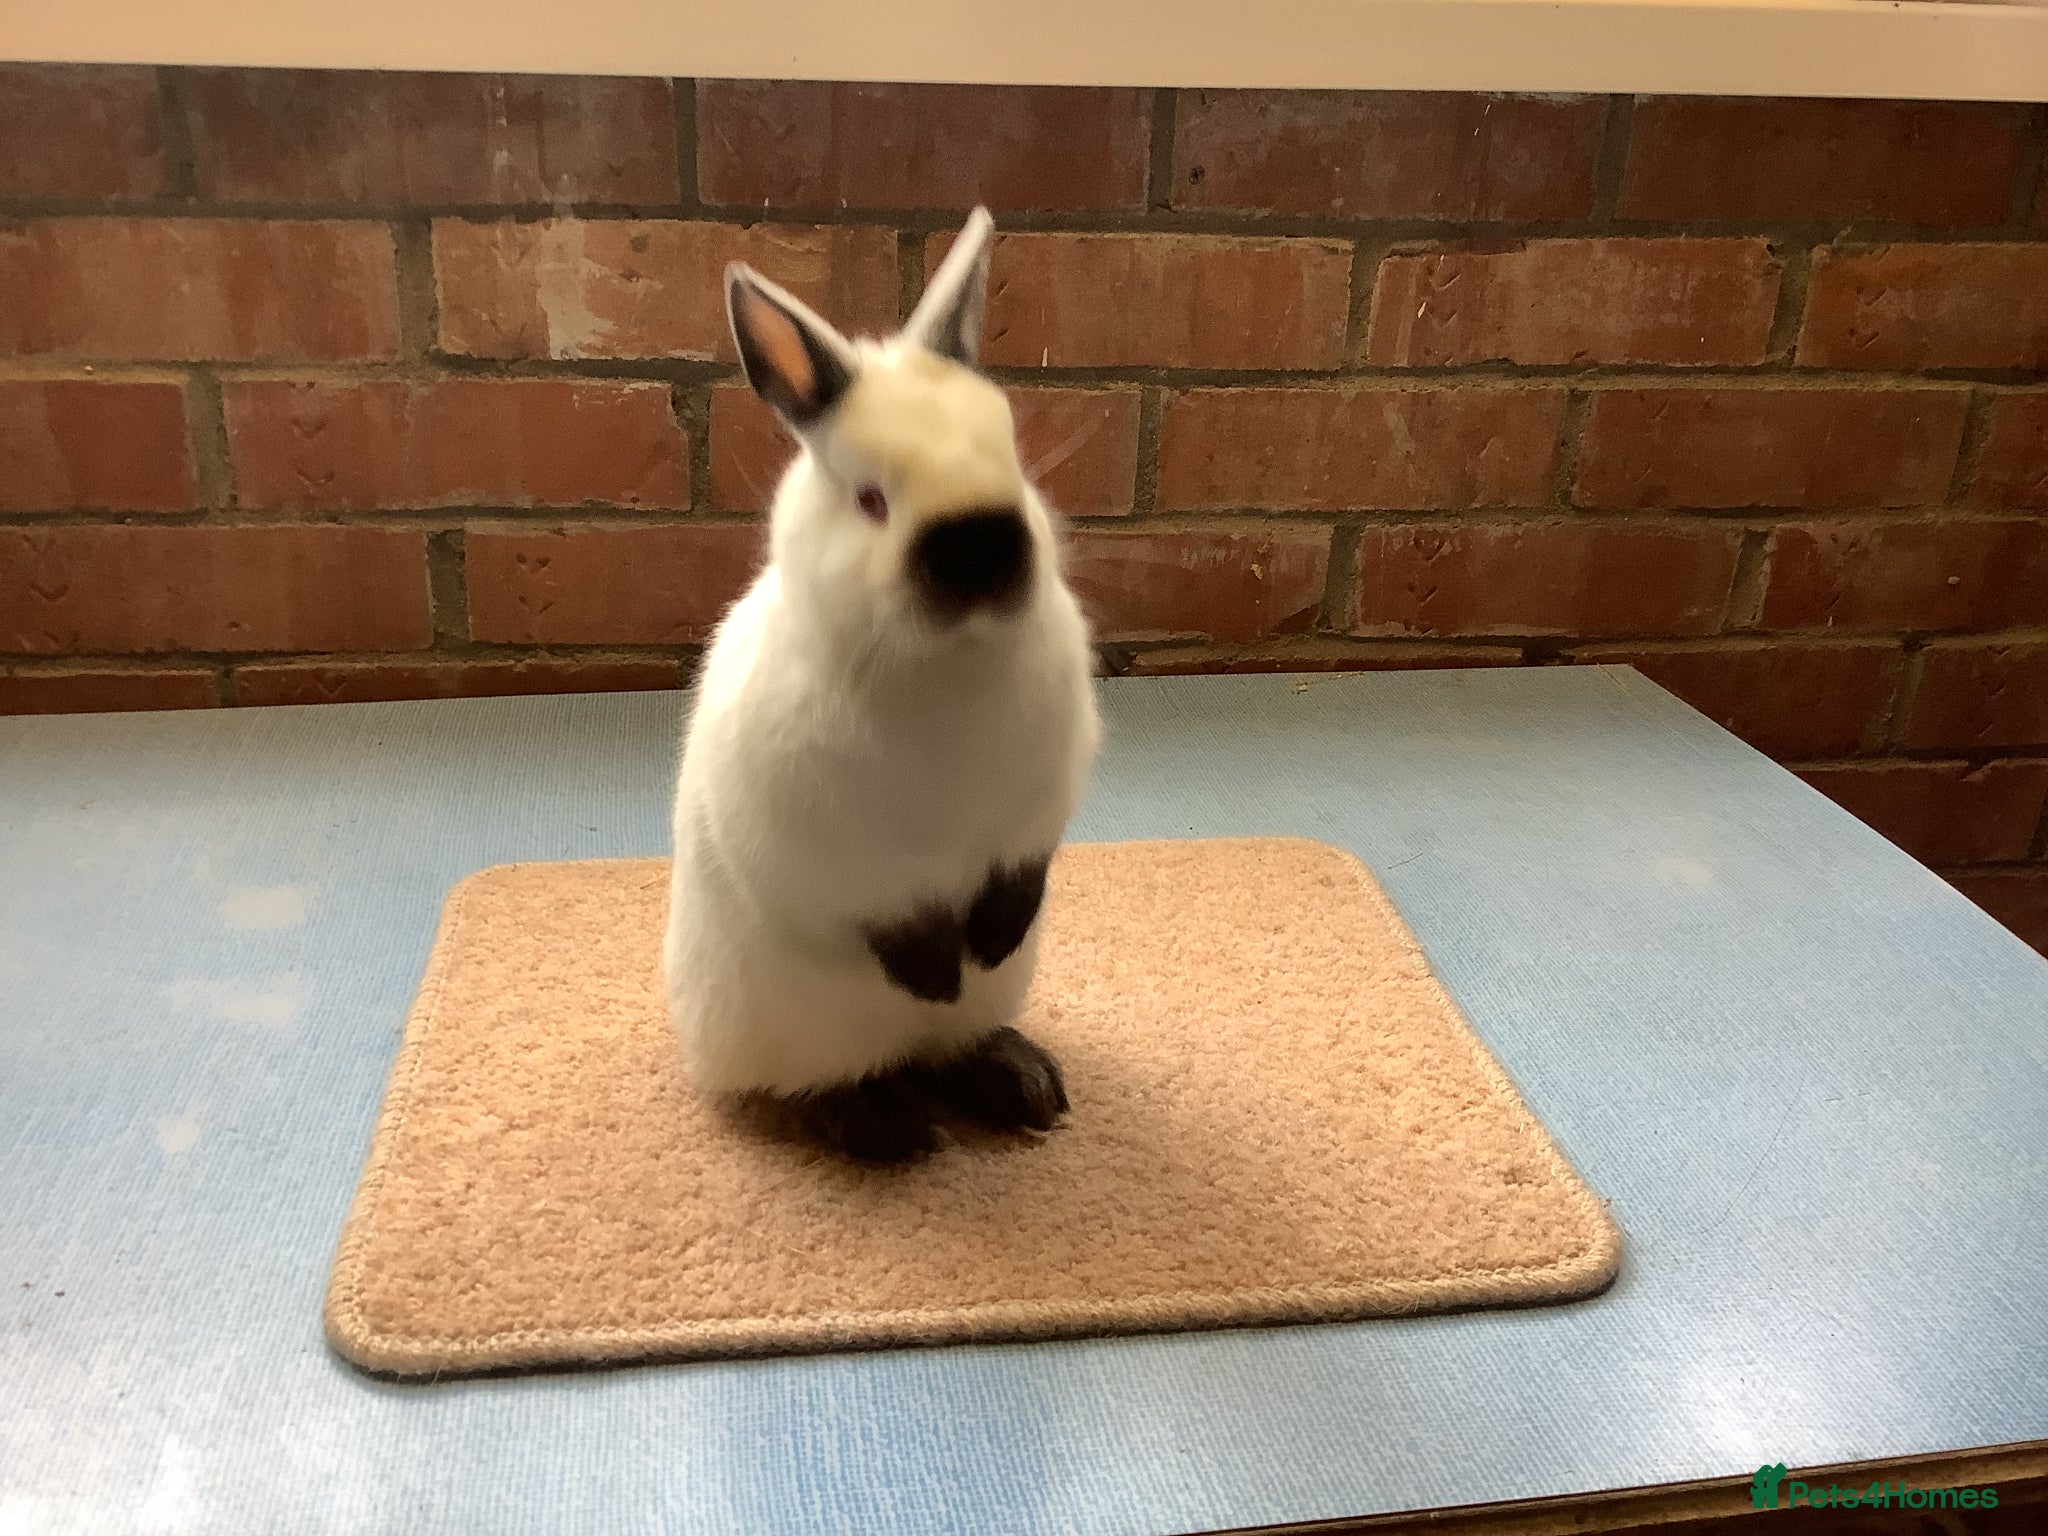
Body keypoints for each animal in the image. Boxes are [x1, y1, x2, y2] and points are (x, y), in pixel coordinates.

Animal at [663, 207, 1102, 1163]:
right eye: (871, 501)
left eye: (1014, 459)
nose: (981, 556)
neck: (948, 665)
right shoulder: (840, 848)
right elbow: (885, 915)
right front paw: (934, 969)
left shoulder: (1038, 808)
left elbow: (1021, 871)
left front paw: (990, 939)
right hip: (791, 1030)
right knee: (824, 1082)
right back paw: (885, 1126)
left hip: (982, 1006)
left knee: (948, 1048)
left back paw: (1020, 1082)